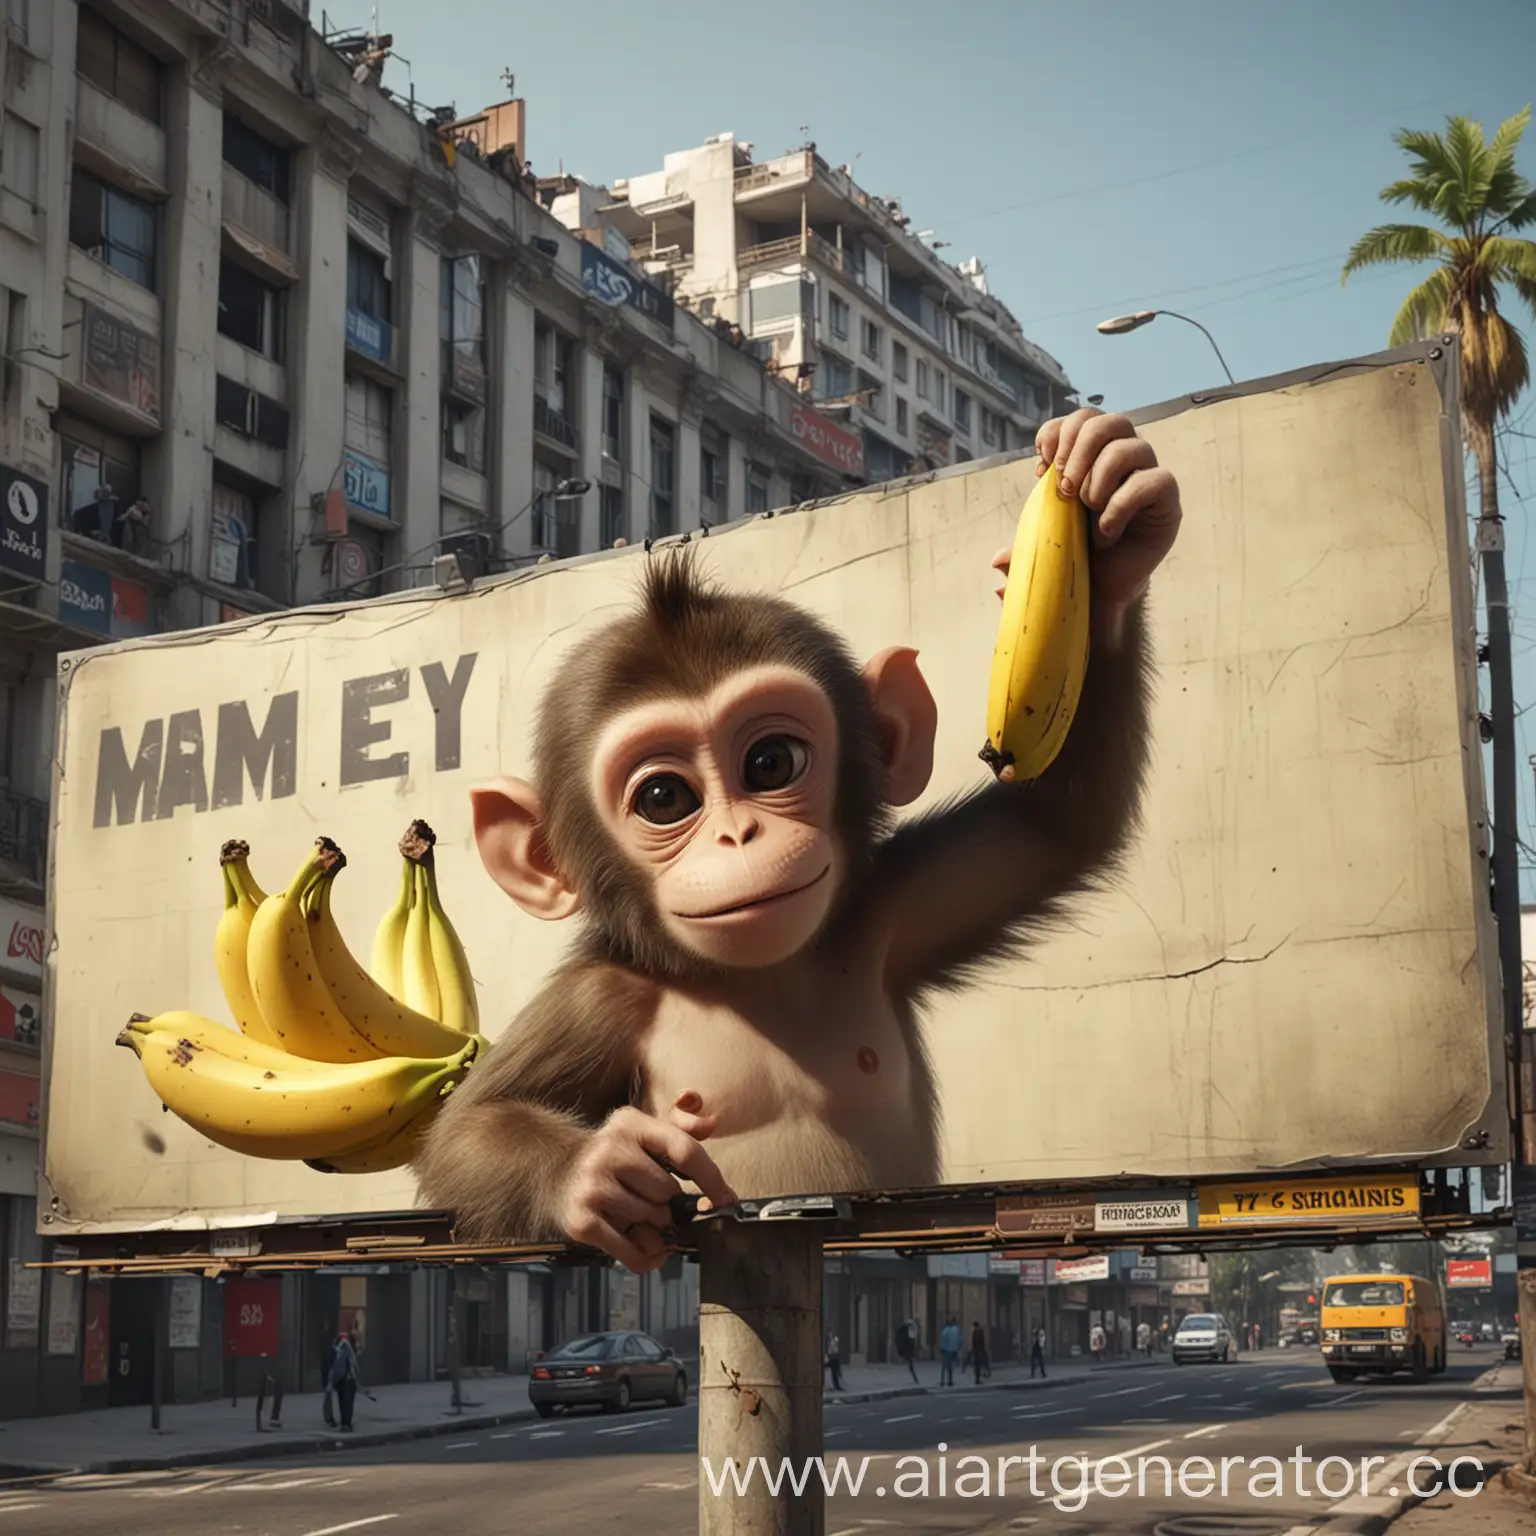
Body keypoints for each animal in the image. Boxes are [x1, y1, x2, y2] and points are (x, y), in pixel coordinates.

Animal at [414, 408, 1179, 1271]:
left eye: (770, 763)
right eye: (664, 798)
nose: (738, 833)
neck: (756, 979)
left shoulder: (894, 908)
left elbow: (1054, 827)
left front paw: (1109, 515)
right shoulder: (599, 996)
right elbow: (470, 1125)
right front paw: (598, 1175)